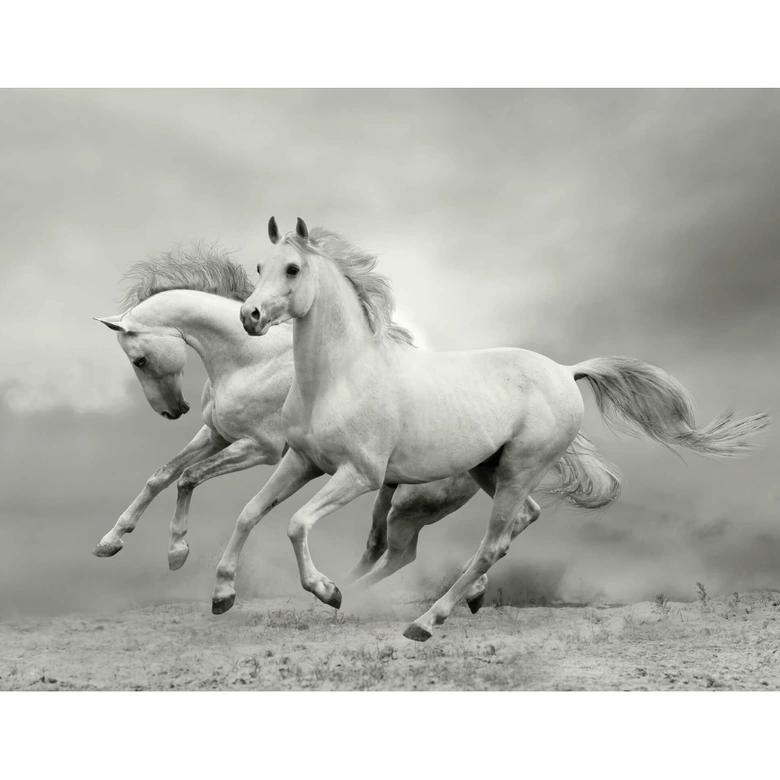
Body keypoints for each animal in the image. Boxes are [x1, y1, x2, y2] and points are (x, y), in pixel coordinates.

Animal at [213, 216, 770, 641]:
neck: (339, 376)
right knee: (523, 519)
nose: (250, 316)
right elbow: (248, 514)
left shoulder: (359, 475)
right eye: (259, 267)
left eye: (293, 268)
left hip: (519, 469)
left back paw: (425, 622)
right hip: (490, 469)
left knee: (492, 544)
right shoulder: (302, 461)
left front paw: (327, 591)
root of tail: (566, 371)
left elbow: (295, 523)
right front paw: (222, 594)